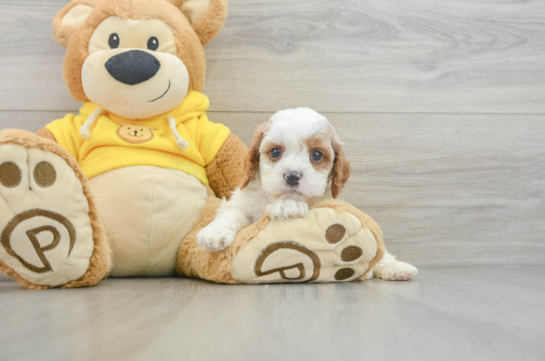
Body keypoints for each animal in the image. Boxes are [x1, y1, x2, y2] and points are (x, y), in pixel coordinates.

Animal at [197, 108, 348, 252]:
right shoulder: (241, 202)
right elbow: (232, 213)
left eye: (317, 155)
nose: (292, 176)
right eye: (275, 152)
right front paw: (214, 234)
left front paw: (288, 205)